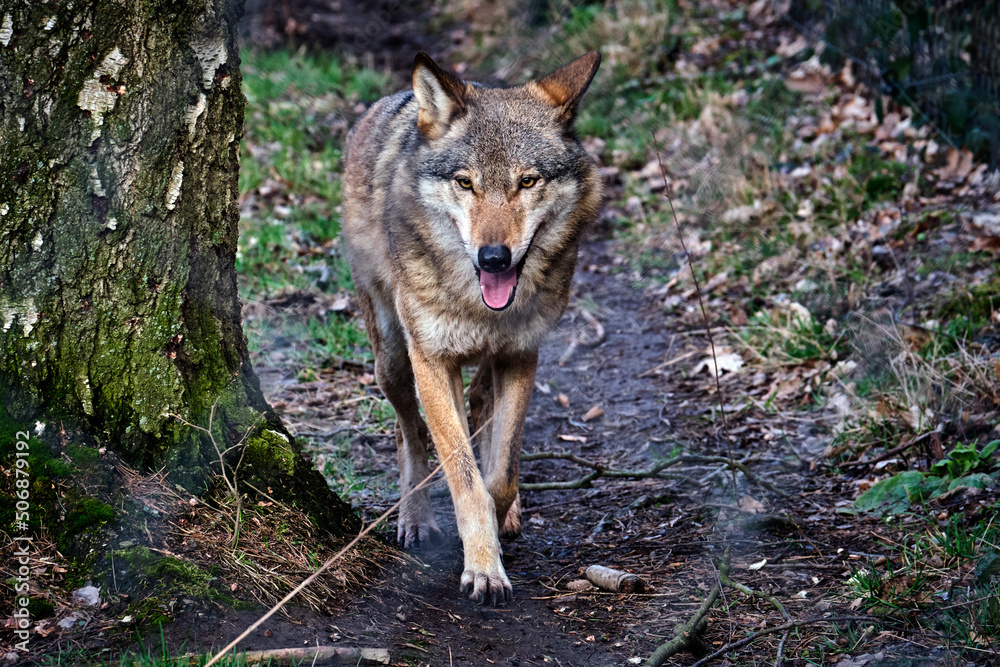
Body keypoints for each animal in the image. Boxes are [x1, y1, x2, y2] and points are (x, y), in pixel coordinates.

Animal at [342, 51, 600, 604]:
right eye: (466, 183)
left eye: (527, 182)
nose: (493, 257)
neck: (482, 308)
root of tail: (389, 100)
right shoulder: (431, 359)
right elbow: (464, 478)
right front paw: (482, 568)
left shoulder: (522, 354)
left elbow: (500, 475)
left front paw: (498, 531)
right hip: (391, 360)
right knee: (410, 434)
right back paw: (415, 518)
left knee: (480, 409)